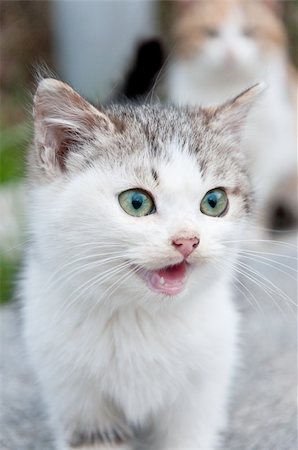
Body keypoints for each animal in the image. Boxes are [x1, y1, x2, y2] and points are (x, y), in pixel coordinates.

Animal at [22, 79, 262, 448]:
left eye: (214, 201)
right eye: (136, 202)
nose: (187, 240)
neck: (140, 316)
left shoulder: (203, 387)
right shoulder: (76, 400)